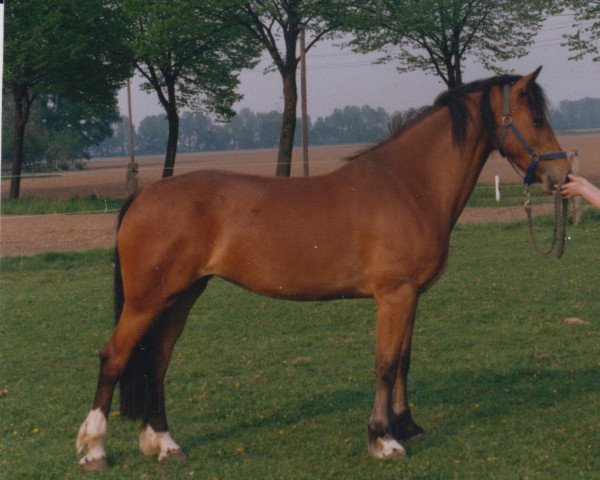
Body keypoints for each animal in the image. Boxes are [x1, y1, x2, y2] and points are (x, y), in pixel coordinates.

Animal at [76, 67, 572, 468]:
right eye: (538, 119)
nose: (561, 177)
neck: (409, 185)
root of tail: (145, 194)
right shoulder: (394, 295)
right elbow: (385, 364)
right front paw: (383, 440)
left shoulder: (411, 295)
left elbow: (405, 361)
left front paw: (407, 426)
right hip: (147, 299)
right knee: (114, 357)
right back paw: (94, 450)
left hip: (181, 296)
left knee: (157, 361)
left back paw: (164, 443)